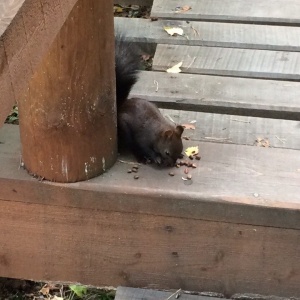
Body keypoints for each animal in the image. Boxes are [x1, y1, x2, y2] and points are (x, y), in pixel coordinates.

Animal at [116, 38, 184, 166]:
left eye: (181, 148)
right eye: (167, 153)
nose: (172, 164)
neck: (157, 133)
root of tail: (120, 107)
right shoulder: (143, 139)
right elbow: (146, 149)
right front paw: (156, 157)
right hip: (125, 130)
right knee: (132, 146)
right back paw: (141, 158)